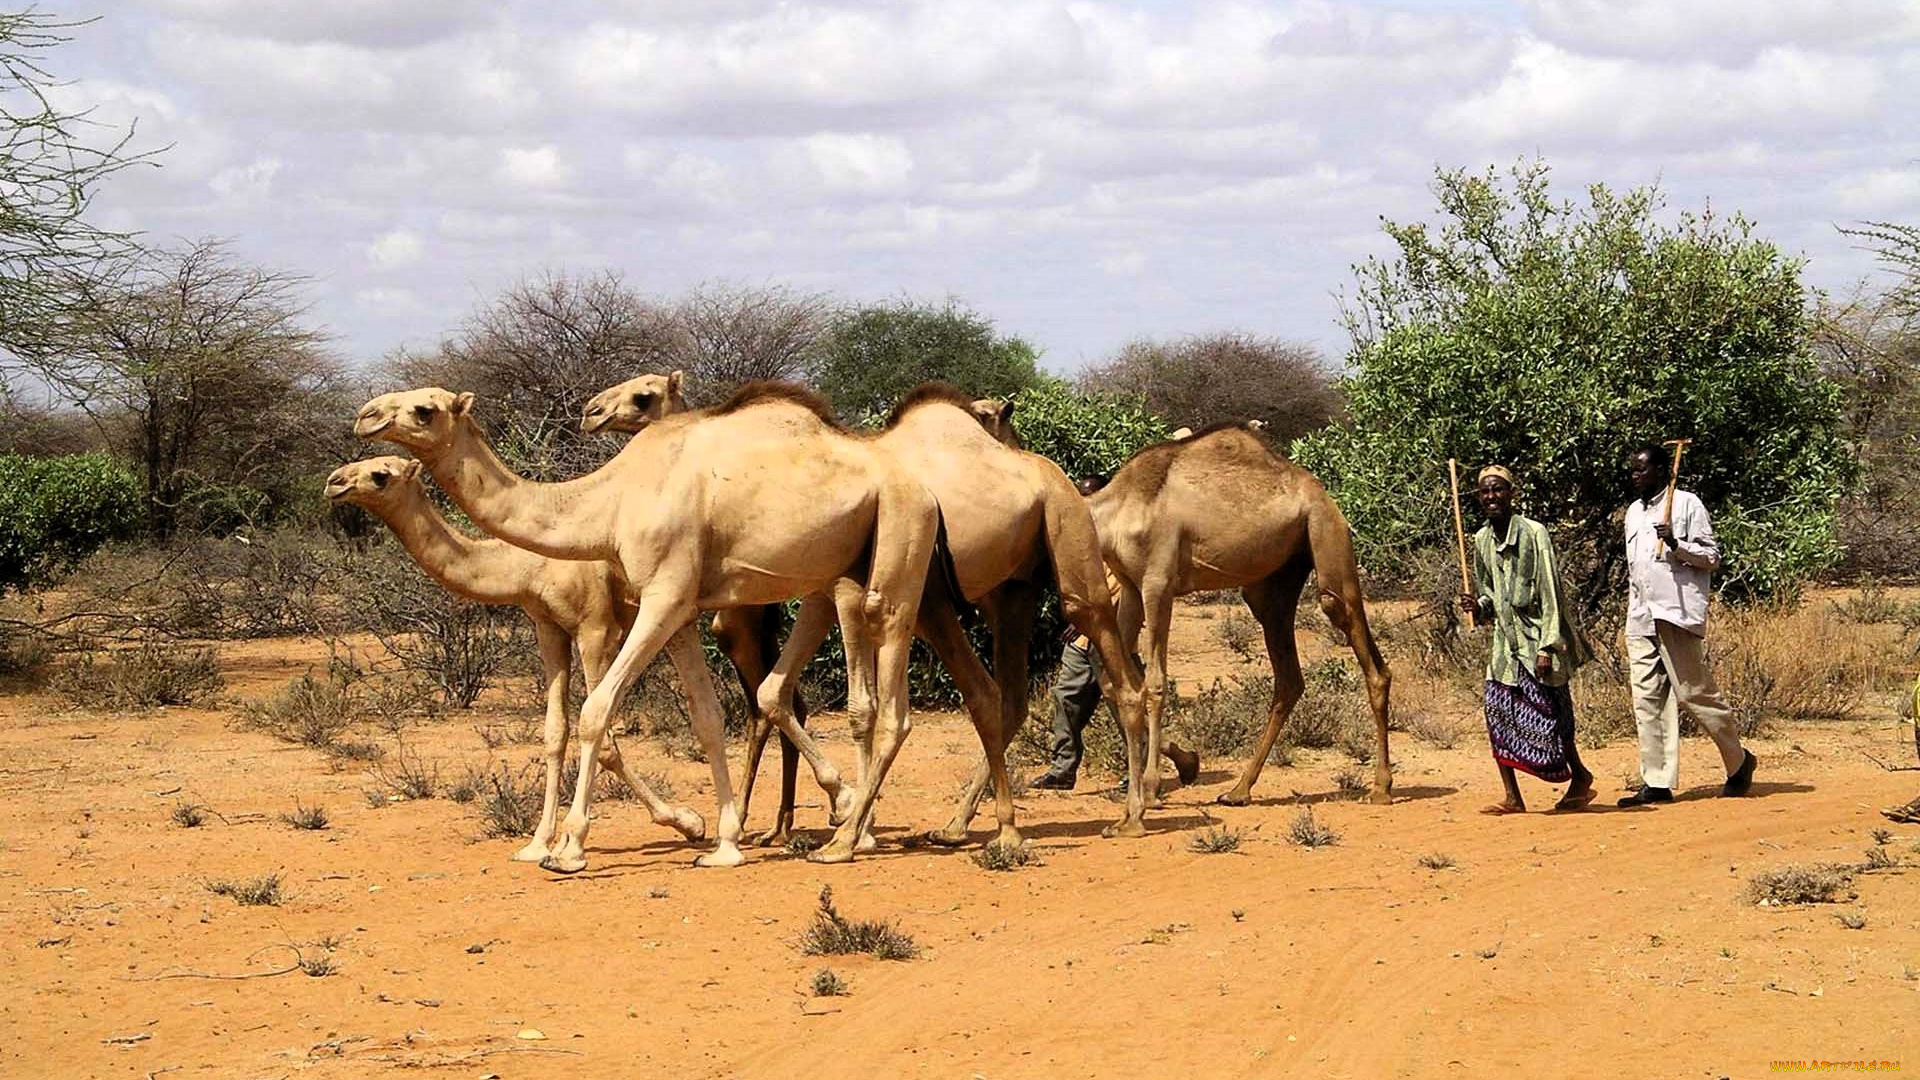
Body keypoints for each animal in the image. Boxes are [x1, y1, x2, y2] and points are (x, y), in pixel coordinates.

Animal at [318, 453, 710, 857]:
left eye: (380, 475)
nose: (334, 482)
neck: (525, 565)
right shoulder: (547, 625)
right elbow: (555, 732)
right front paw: (538, 844)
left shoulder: (596, 628)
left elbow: (605, 739)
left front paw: (688, 822)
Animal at [583, 374, 1175, 837]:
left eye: (643, 396)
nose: (592, 410)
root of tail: (1051, 475)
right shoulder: (820, 594)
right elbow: (780, 696)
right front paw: (812, 818)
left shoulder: (842, 594)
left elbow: (856, 707)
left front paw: (852, 819)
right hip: (1010, 590)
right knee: (1004, 696)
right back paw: (958, 824)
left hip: (1069, 549)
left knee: (1112, 664)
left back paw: (1132, 814)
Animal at [983, 417, 1390, 803]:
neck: (1113, 514)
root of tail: (1323, 494)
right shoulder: (1130, 586)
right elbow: (1117, 682)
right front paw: (1183, 764)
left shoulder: (1157, 584)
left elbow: (1154, 683)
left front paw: (1150, 786)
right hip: (1274, 582)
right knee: (1288, 676)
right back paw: (1238, 790)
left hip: (1326, 534)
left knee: (1363, 649)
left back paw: (1381, 788)